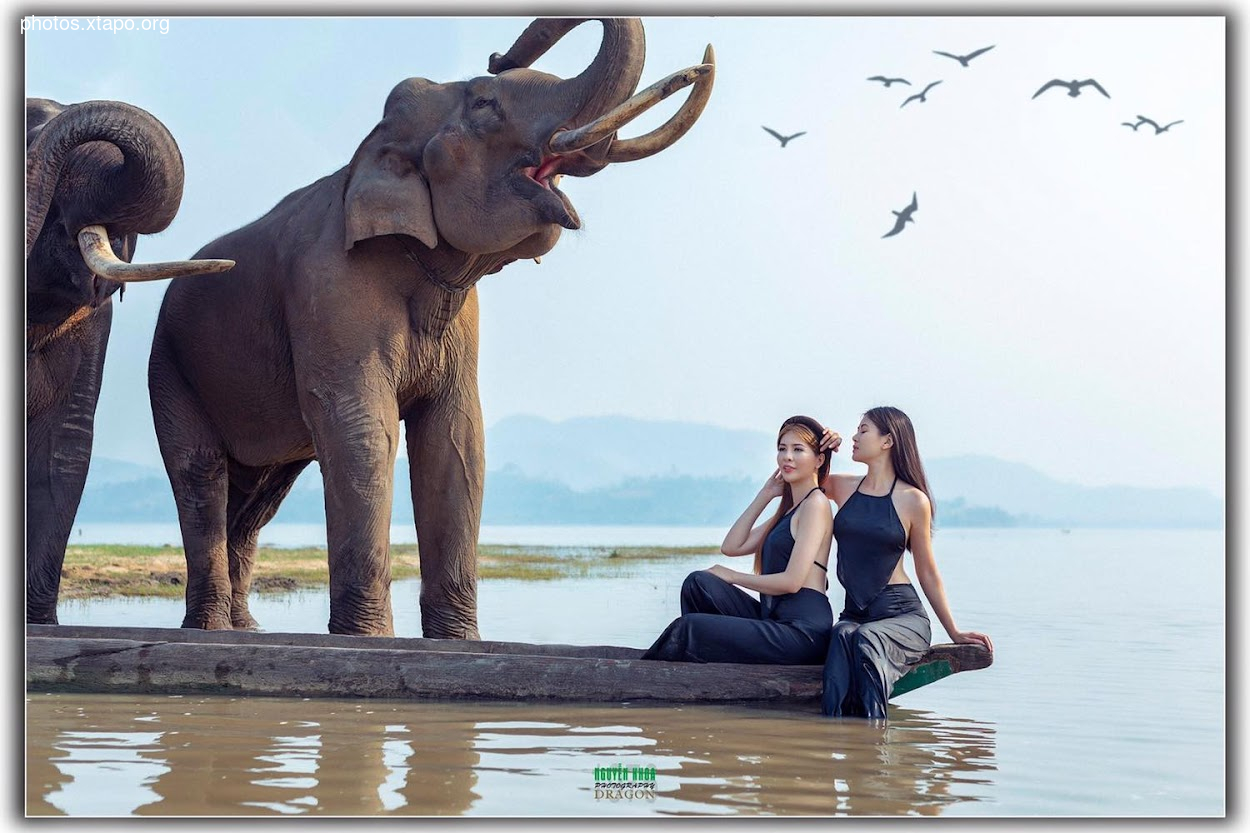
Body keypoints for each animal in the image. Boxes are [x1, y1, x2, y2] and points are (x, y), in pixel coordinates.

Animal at [147, 17, 715, 637]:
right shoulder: (328, 287)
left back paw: (244, 629)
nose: (499, 53)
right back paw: (209, 629)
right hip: (168, 365)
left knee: (260, 495)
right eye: (486, 102)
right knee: (202, 476)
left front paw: (458, 639)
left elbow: (457, 438)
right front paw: (370, 639)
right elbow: (361, 428)